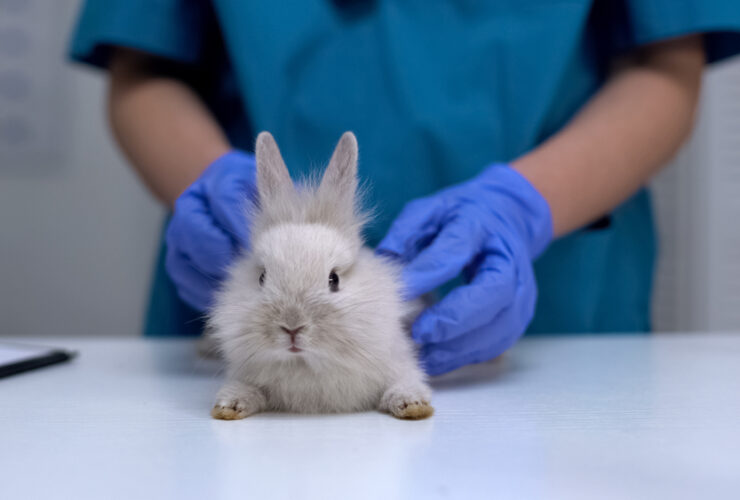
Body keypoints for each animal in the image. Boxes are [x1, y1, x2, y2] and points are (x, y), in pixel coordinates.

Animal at [208, 131, 434, 420]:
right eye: (261, 278)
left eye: (334, 279)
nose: (292, 327)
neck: (306, 366)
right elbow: (245, 389)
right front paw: (229, 406)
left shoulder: (399, 361)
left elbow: (404, 382)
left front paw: (413, 405)